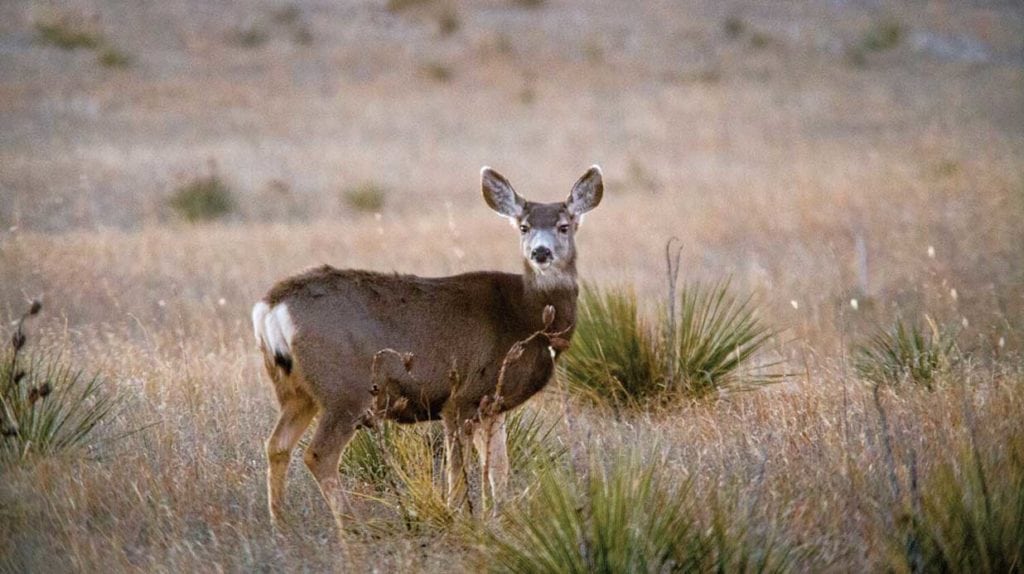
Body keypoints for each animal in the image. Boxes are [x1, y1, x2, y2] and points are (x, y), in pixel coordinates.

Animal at [250, 163, 598, 527]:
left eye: (563, 226)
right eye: (524, 226)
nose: (540, 253)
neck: (525, 317)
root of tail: (271, 306)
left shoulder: (493, 403)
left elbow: (498, 469)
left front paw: (501, 517)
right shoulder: (461, 398)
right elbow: (458, 471)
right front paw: (459, 516)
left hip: (296, 390)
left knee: (276, 445)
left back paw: (280, 524)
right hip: (344, 388)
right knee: (319, 453)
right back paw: (352, 528)